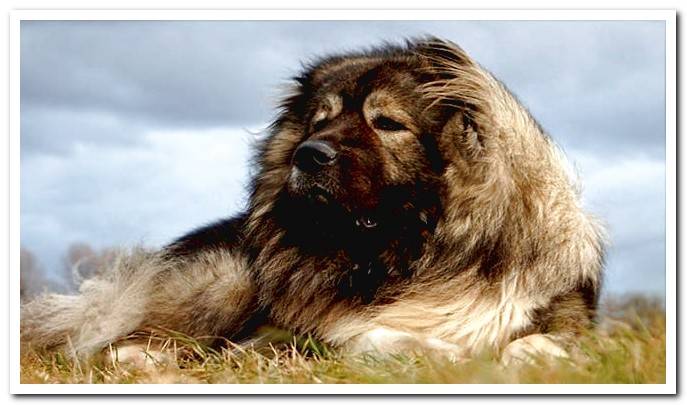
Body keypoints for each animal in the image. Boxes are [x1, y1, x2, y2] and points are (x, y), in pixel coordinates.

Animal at [20, 38, 608, 364]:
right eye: (321, 119)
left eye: (386, 123)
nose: (308, 155)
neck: (411, 259)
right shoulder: (300, 334)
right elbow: (366, 337)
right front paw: (439, 353)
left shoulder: (555, 315)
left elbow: (540, 342)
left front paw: (525, 358)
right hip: (228, 277)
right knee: (111, 344)